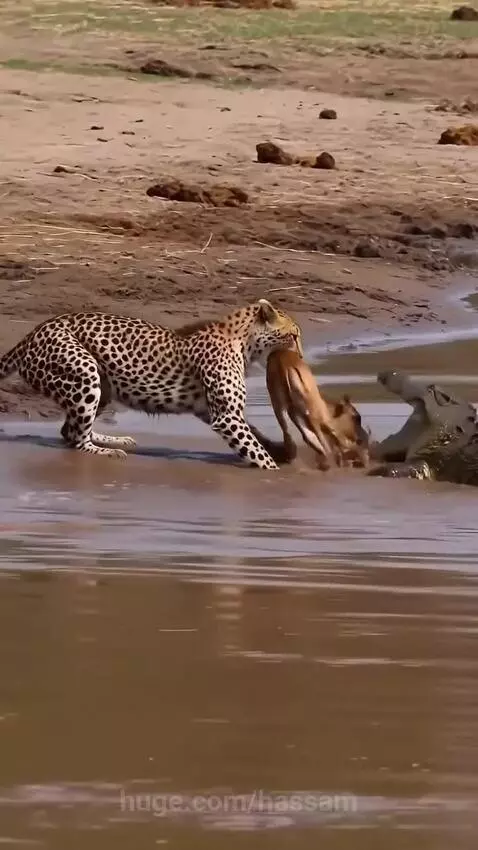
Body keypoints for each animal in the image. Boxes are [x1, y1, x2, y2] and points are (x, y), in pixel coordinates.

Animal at [0, 299, 303, 470]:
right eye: (294, 335)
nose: (300, 355)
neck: (243, 342)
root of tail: (34, 331)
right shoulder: (226, 417)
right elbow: (256, 452)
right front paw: (277, 473)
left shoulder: (212, 411)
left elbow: (255, 435)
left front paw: (279, 450)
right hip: (86, 372)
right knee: (75, 437)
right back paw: (108, 451)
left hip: (102, 384)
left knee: (68, 430)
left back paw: (115, 440)